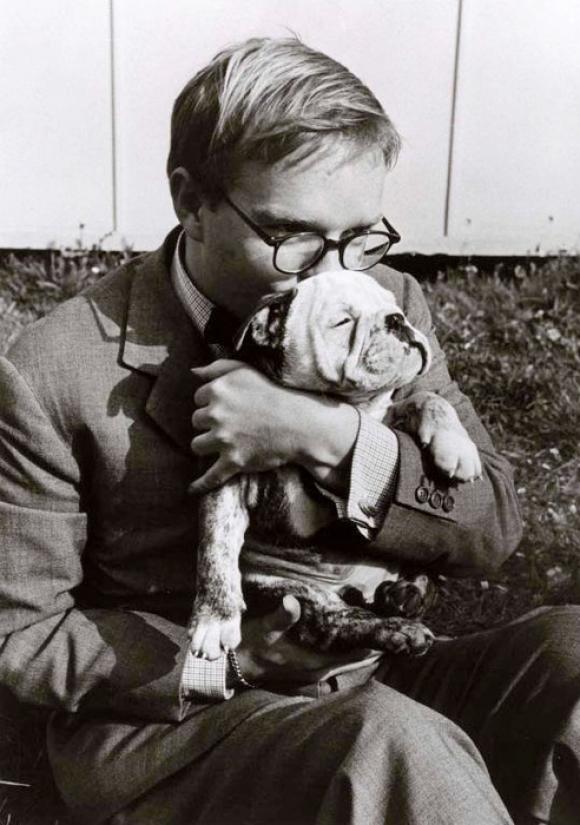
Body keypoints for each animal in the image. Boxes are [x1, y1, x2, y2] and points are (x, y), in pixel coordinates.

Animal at [190, 274, 480, 660]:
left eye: (392, 304)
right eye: (342, 322)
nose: (397, 319)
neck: (350, 404)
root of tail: (359, 590)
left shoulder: (382, 423)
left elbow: (426, 398)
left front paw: (456, 445)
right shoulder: (226, 472)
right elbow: (217, 550)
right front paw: (215, 619)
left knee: (423, 579)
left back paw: (405, 594)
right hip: (286, 587)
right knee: (333, 620)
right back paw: (397, 628)